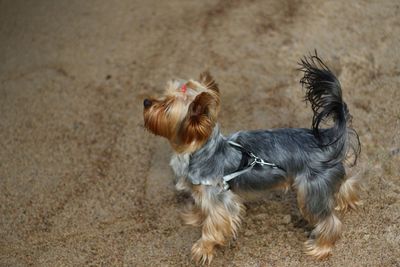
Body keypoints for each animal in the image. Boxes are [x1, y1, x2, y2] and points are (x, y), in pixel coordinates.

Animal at [143, 55, 362, 266]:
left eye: (167, 106)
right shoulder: (203, 192)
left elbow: (214, 225)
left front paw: (203, 249)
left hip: (310, 191)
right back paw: (346, 203)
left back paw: (320, 248)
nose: (146, 102)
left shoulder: (220, 199)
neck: (197, 150)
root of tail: (328, 137)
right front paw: (195, 217)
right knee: (346, 183)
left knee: (329, 221)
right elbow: (202, 207)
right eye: (163, 94)